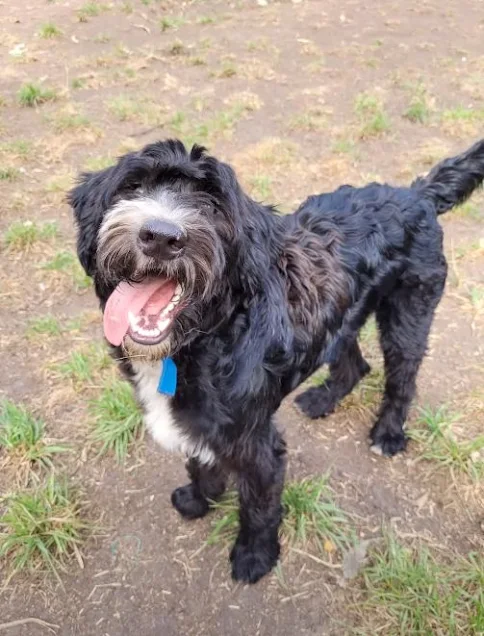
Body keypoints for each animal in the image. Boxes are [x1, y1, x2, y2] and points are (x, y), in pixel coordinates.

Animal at [69, 137, 484, 584]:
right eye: (133, 186)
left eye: (213, 206)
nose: (161, 236)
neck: (208, 338)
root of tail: (416, 194)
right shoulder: (200, 427)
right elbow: (200, 462)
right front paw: (200, 499)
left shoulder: (257, 446)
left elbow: (259, 506)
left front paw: (254, 556)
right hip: (341, 318)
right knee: (355, 364)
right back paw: (322, 400)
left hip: (410, 310)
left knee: (402, 378)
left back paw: (388, 433)